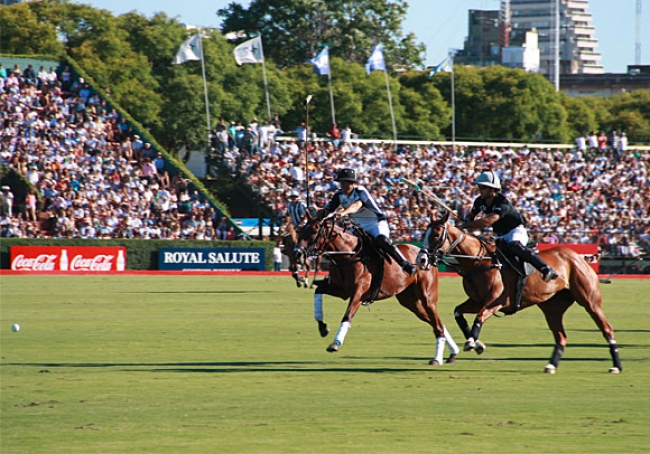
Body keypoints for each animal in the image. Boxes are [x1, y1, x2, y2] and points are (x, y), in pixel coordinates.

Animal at [296, 216, 458, 366]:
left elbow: (347, 316)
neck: (349, 254)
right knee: (436, 322)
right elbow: (318, 290)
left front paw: (335, 344)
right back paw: (453, 352)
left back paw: (438, 357)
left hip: (427, 296)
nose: (298, 252)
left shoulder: (358, 293)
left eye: (314, 231)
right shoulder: (341, 290)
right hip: (410, 301)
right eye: (301, 230)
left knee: (437, 322)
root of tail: (429, 257)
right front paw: (323, 328)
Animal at [418, 211, 620, 374]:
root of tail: (580, 256)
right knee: (561, 337)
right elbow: (458, 312)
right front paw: (478, 344)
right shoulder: (476, 301)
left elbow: (480, 317)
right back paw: (551, 365)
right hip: (552, 308)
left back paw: (616, 366)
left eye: (436, 234)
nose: (421, 259)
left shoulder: (496, 301)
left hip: (590, 301)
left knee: (607, 329)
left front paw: (471, 343)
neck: (478, 261)